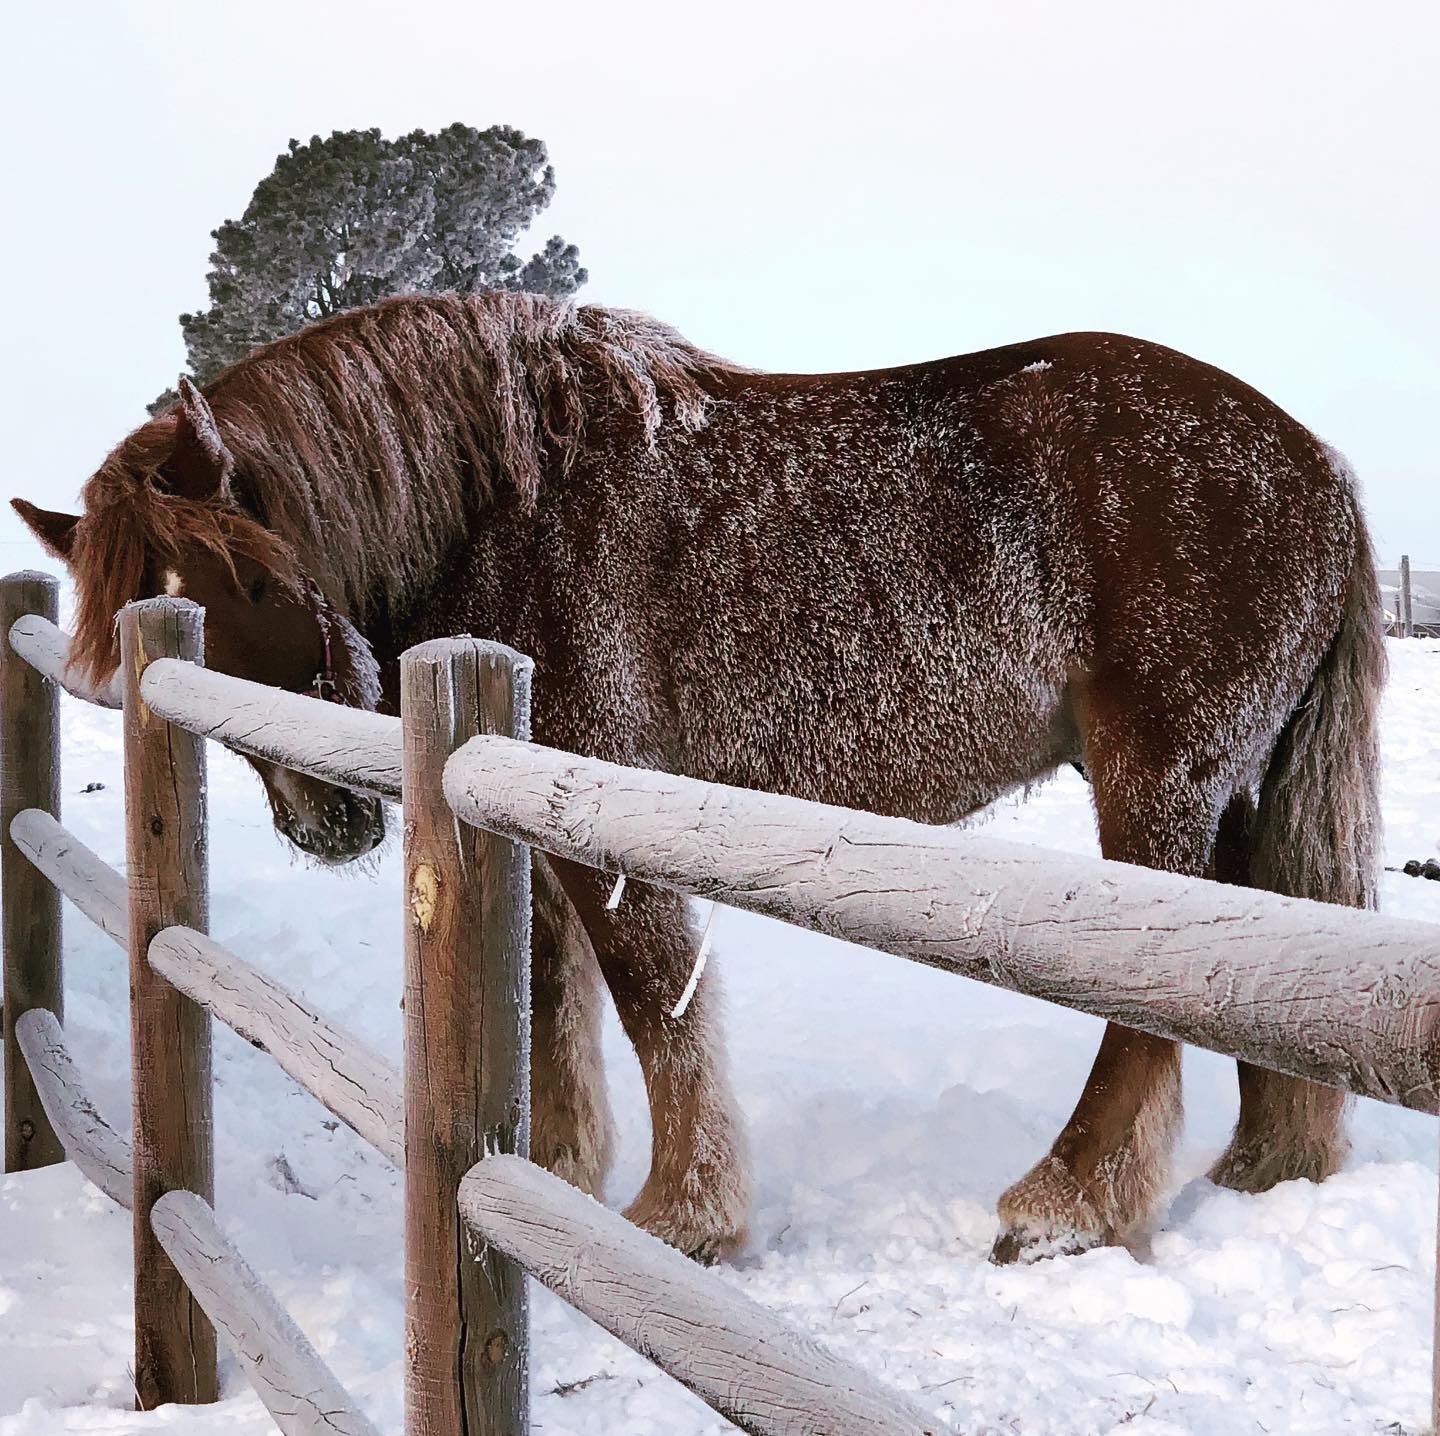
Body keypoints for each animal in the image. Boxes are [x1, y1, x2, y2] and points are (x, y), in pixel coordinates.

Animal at [11, 288, 1382, 1255]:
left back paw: (1067, 1201)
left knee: (1152, 1004)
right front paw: (553, 1173)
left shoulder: (600, 802)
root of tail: (1318, 464)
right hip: (1233, 788)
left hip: (1158, 783)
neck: (504, 508)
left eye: (247, 577)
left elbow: (651, 998)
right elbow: (549, 993)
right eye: (144, 616)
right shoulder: (513, 801)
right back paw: (1264, 1165)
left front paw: (686, 1215)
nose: (326, 817)